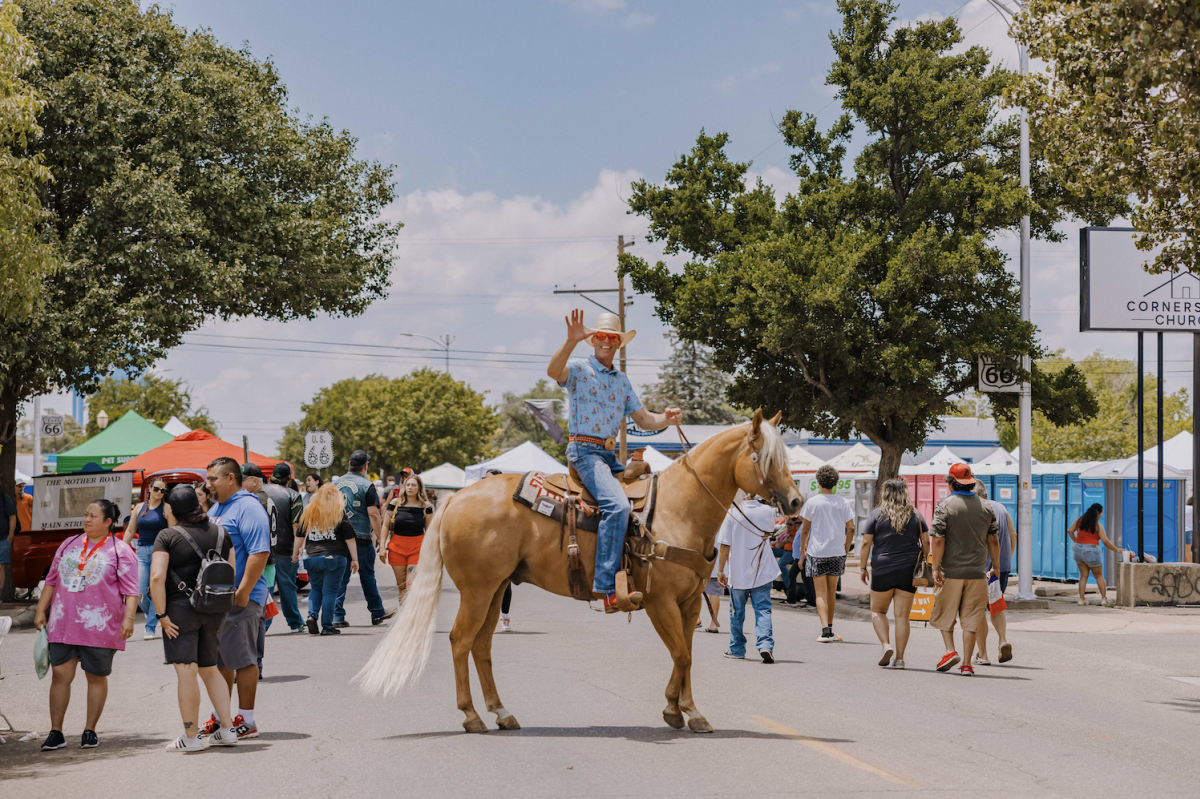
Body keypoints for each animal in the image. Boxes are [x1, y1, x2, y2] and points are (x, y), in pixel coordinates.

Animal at [355, 410, 806, 729]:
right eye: (765, 457)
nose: (797, 502)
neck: (679, 508)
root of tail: (453, 499)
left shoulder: (691, 601)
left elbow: (688, 657)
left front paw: (685, 710)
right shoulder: (659, 601)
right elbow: (680, 654)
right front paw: (678, 711)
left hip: (497, 588)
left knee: (481, 645)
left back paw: (501, 712)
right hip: (478, 589)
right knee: (460, 641)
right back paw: (471, 716)